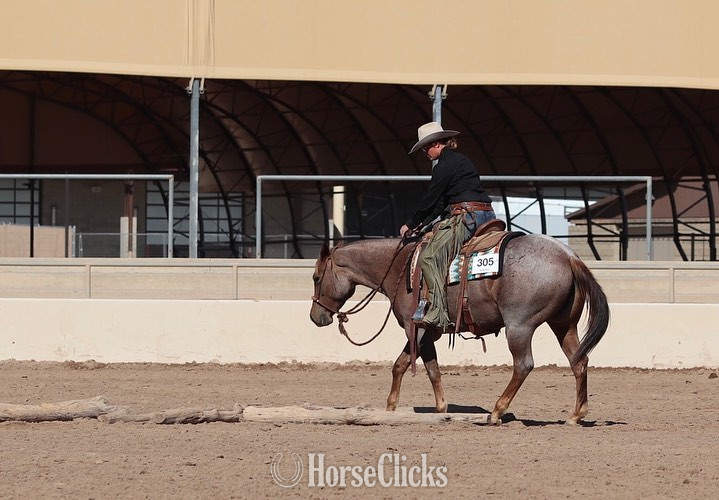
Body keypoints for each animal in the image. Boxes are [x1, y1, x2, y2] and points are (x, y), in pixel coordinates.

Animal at [309, 233, 610, 425]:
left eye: (315, 277)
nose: (316, 317)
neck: (400, 268)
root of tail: (569, 257)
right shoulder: (426, 332)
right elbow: (420, 367)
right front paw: (429, 409)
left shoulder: (417, 328)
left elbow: (412, 365)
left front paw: (400, 407)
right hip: (563, 324)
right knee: (579, 361)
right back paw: (575, 415)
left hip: (519, 326)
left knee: (523, 365)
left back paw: (496, 412)